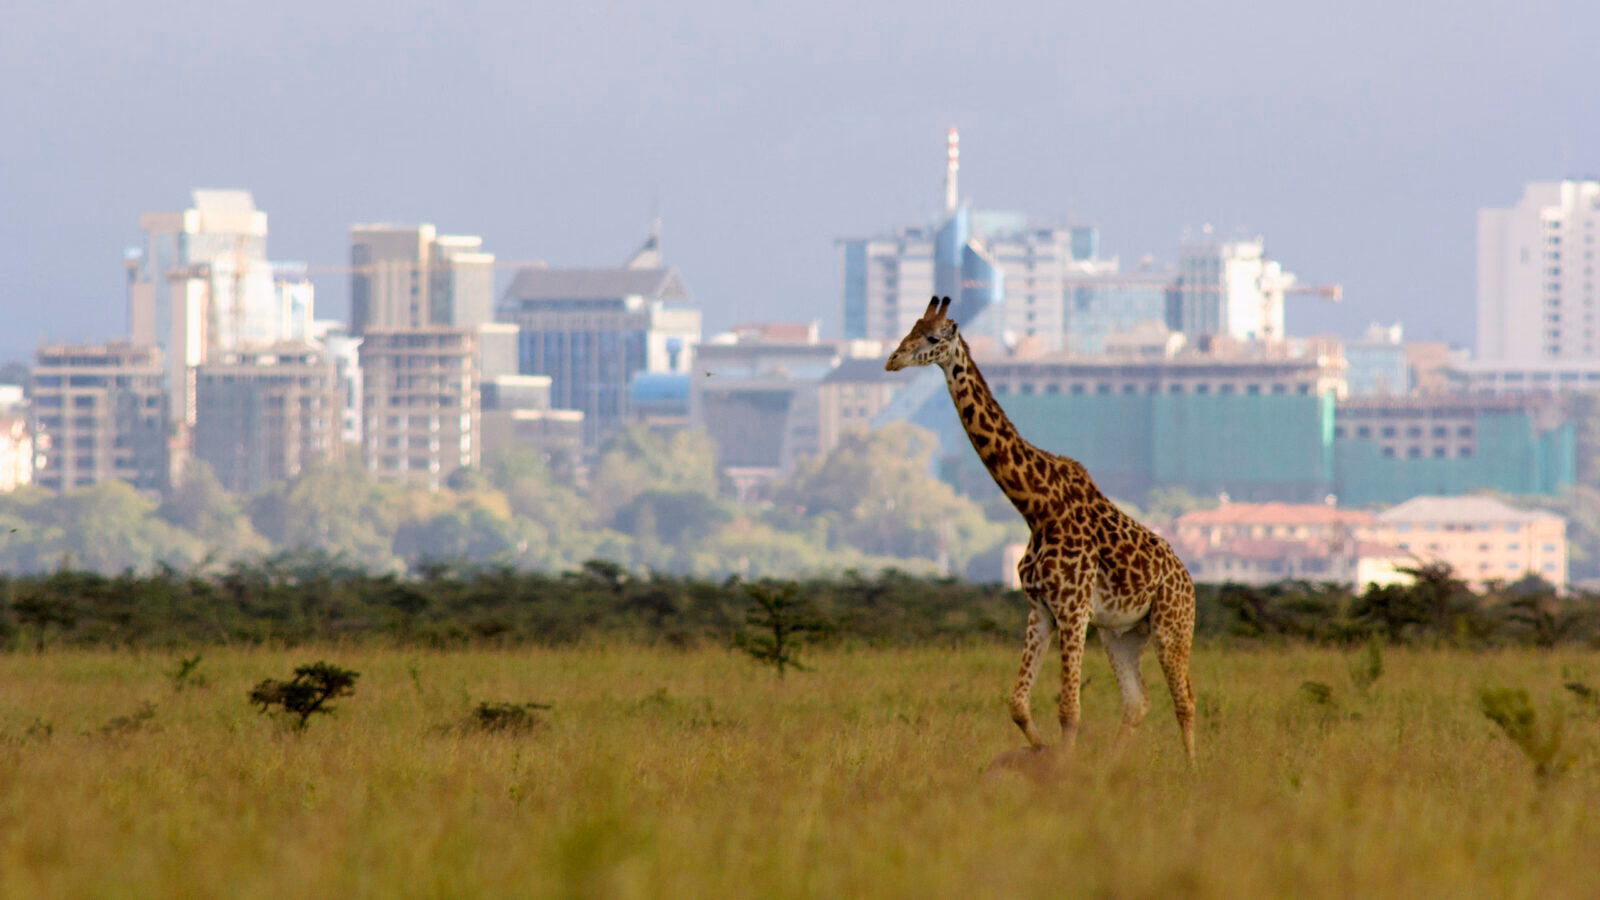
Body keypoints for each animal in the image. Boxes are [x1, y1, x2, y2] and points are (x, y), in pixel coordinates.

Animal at [886, 296, 1196, 762]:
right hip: (1120, 634)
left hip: (1171, 626)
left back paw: (1194, 772)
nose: (893, 360)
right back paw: (1110, 768)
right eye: (911, 328)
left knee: (1185, 701)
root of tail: (1189, 581)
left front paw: (1061, 768)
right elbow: (1018, 703)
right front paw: (1044, 752)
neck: (1037, 508)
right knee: (1137, 702)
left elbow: (1069, 709)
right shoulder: (1041, 610)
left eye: (933, 337)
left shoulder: (1073, 609)